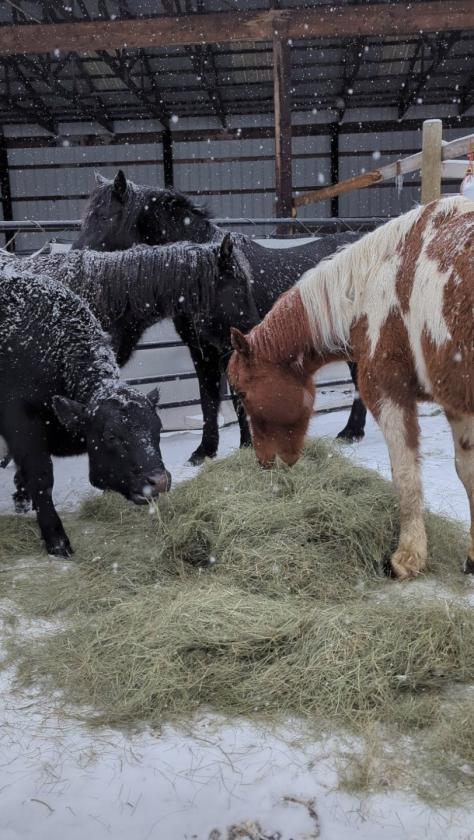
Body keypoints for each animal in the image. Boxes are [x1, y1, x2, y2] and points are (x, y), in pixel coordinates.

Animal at [73, 170, 368, 462]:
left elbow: (238, 398)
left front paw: (246, 446)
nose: (77, 256)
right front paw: (205, 450)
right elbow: (208, 400)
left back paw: (351, 432)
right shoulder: (200, 350)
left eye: (104, 216)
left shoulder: (231, 347)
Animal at [228, 196, 474, 582]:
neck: (377, 282)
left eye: (240, 393)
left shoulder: (388, 394)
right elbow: (468, 473)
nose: (265, 464)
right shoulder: (456, 402)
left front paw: (407, 557)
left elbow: (405, 477)